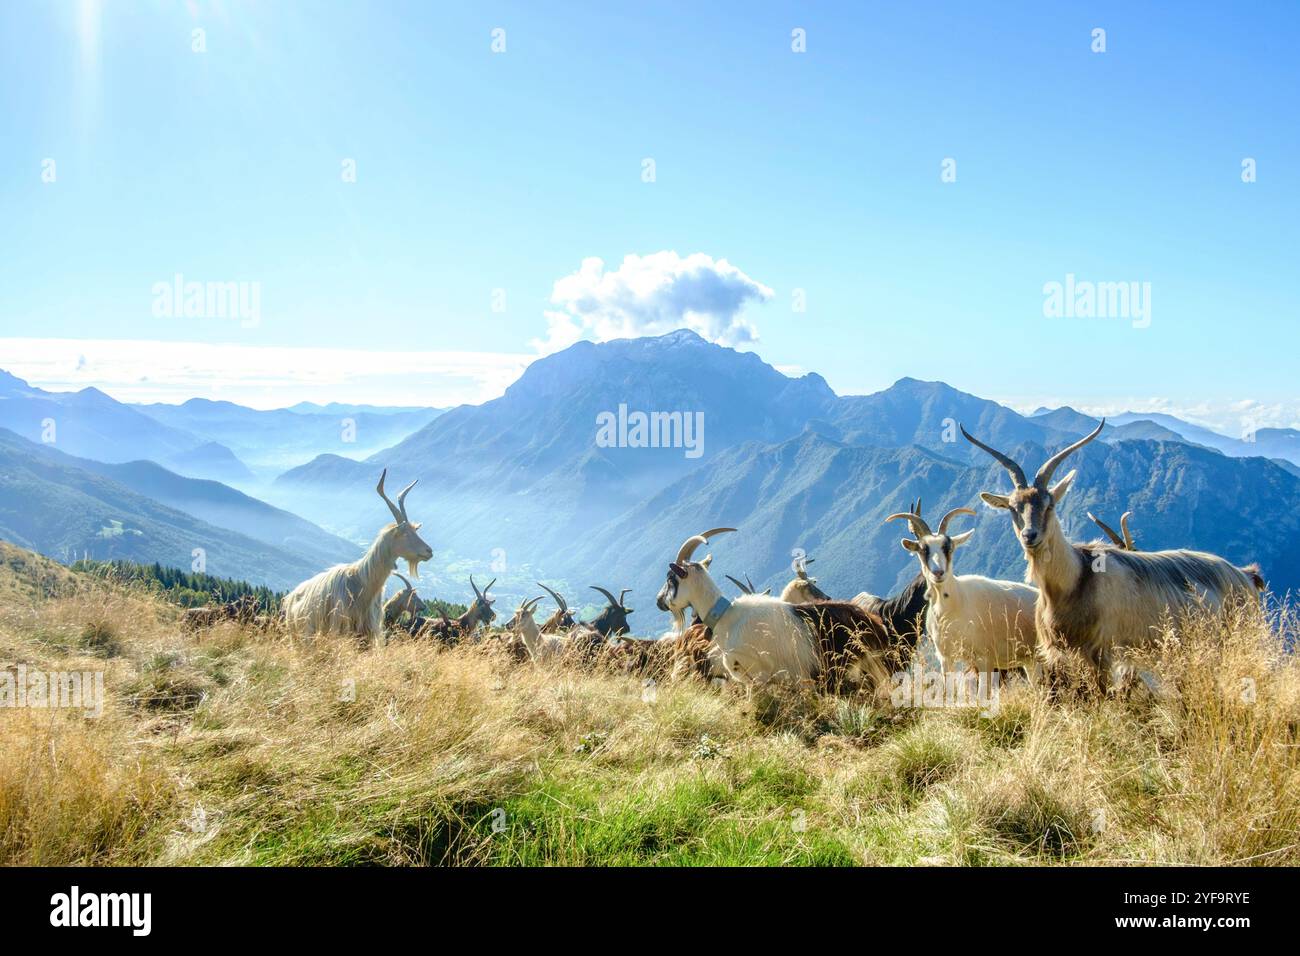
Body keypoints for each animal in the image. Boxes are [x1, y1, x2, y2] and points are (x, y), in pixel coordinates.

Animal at [283, 470, 434, 650]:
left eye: (415, 531)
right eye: (405, 533)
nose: (429, 551)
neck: (362, 581)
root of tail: (290, 598)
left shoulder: (366, 633)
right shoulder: (341, 629)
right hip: (298, 638)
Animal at [883, 504, 1034, 676]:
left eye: (948, 548)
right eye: (923, 550)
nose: (938, 572)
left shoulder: (984, 659)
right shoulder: (945, 657)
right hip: (1029, 661)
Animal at [967, 421, 1258, 691]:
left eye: (1050, 505)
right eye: (1013, 507)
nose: (1030, 535)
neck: (1076, 580)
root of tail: (1246, 575)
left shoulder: (1102, 651)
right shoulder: (1058, 652)